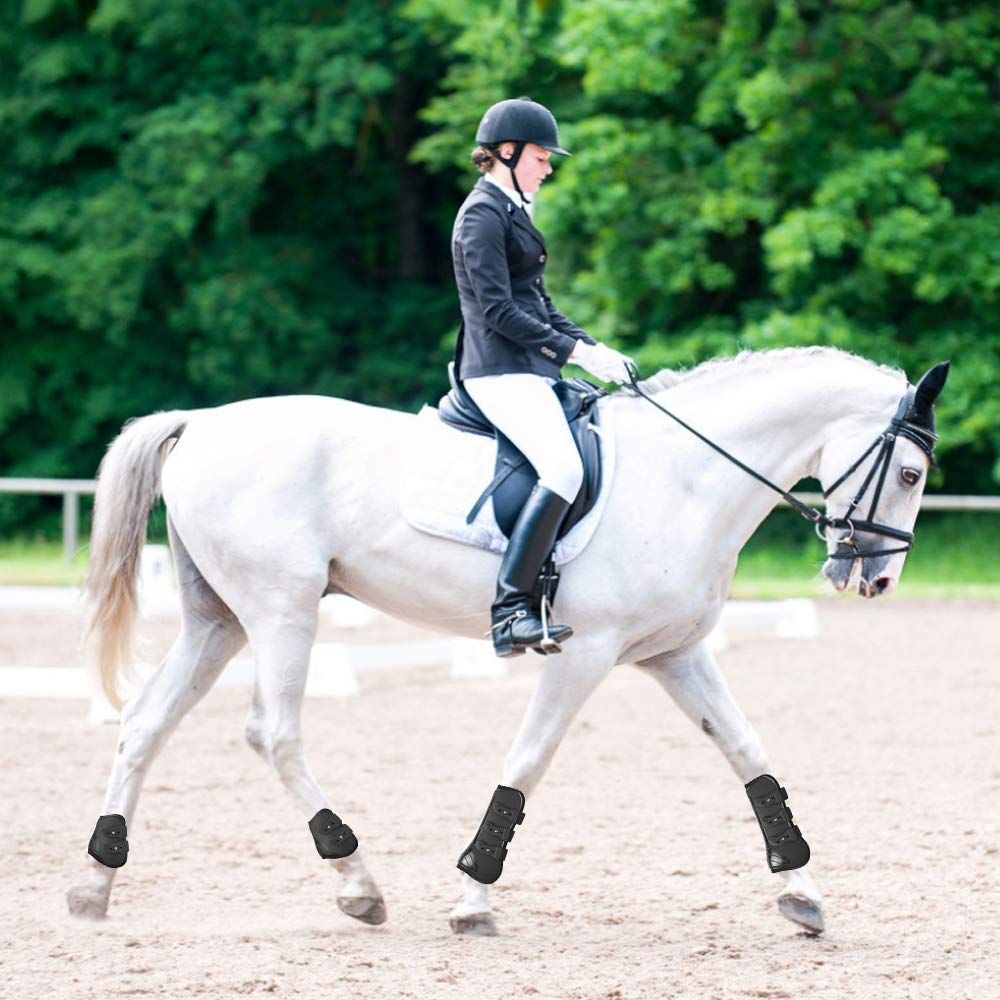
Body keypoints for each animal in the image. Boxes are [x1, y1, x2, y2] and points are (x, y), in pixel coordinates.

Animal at [68, 346, 944, 936]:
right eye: (908, 474)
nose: (874, 580)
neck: (685, 479)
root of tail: (201, 424)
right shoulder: (583, 653)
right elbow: (527, 764)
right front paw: (473, 897)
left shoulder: (674, 653)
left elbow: (749, 752)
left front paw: (801, 890)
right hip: (282, 609)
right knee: (272, 731)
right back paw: (357, 881)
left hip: (216, 619)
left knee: (145, 723)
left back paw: (95, 882)